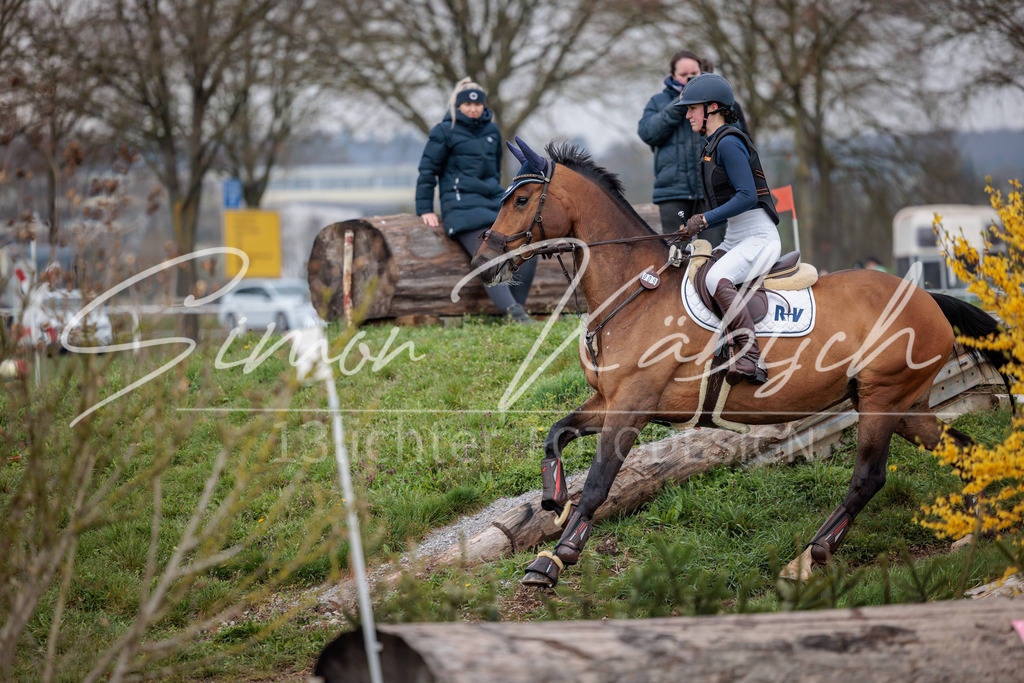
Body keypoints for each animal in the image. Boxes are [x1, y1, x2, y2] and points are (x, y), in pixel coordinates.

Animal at [471, 137, 1011, 588]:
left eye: (521, 201)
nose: (482, 261)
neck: (635, 288)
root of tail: (927, 298)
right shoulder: (608, 400)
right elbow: (556, 434)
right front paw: (552, 500)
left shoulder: (632, 404)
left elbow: (600, 482)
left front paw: (554, 559)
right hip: (901, 405)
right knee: (963, 449)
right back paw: (978, 528)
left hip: (882, 399)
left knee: (869, 477)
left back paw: (810, 557)